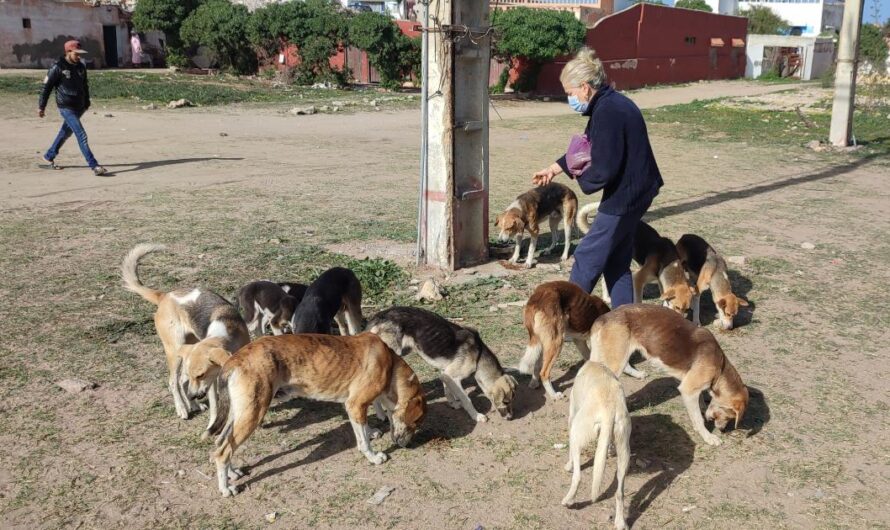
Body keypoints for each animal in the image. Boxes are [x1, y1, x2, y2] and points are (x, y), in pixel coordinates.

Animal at [119, 241, 248, 426]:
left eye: (201, 375)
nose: (194, 395)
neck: (227, 332)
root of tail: (164, 295)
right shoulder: (211, 383)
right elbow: (215, 406)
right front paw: (213, 423)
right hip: (175, 351)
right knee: (174, 382)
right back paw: (182, 407)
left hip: (187, 348)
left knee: (181, 381)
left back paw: (193, 405)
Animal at [212, 334, 426, 496]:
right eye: (416, 422)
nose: (408, 446)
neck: (391, 365)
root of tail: (234, 359)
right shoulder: (355, 405)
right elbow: (363, 442)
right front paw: (373, 457)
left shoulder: (356, 407)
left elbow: (363, 428)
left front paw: (371, 430)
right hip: (253, 413)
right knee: (222, 452)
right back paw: (226, 489)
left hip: (239, 414)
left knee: (221, 443)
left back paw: (232, 473)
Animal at [368, 306, 520, 420]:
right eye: (506, 401)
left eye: (512, 401)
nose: (511, 418)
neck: (478, 354)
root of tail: (378, 316)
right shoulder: (453, 377)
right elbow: (467, 399)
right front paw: (477, 416)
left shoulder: (445, 373)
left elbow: (448, 391)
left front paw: (453, 403)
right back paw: (382, 415)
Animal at [560, 358, 632, 528]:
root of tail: (609, 409)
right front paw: (610, 451)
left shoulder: (572, 416)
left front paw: (568, 465)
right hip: (625, 453)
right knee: (619, 492)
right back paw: (620, 523)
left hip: (576, 431)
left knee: (578, 476)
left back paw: (568, 500)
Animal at [588, 304, 748, 444]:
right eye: (729, 416)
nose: (722, 430)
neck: (720, 367)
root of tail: (603, 318)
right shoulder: (688, 390)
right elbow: (698, 419)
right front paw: (708, 437)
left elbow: (700, 400)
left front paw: (703, 406)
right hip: (614, 365)